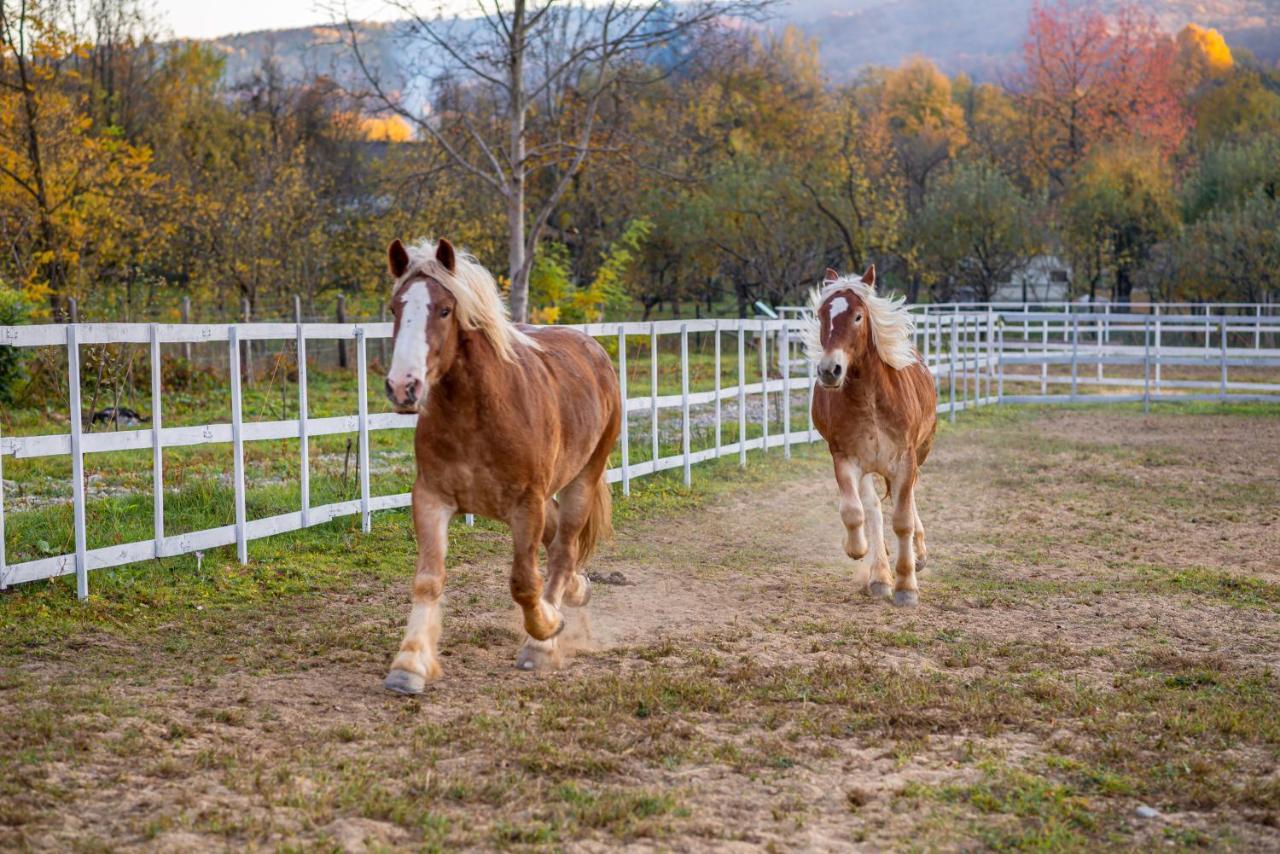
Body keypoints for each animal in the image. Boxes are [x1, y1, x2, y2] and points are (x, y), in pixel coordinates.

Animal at [378, 236, 619, 691]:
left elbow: (524, 583)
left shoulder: (526, 505)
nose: (403, 387)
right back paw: (578, 590)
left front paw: (547, 630)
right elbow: (428, 580)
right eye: (395, 308)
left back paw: (543, 643)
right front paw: (409, 664)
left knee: (563, 550)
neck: (477, 414)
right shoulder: (431, 498)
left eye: (444, 310)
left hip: (582, 479)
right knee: (559, 544)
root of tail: (594, 350)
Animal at [808, 267, 942, 606]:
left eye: (858, 316)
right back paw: (880, 576)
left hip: (917, 455)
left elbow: (902, 520)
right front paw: (858, 550)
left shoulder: (906, 459)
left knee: (907, 500)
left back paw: (917, 556)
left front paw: (907, 586)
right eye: (821, 315)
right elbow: (855, 512)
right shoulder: (845, 458)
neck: (870, 399)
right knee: (873, 510)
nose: (829, 370)